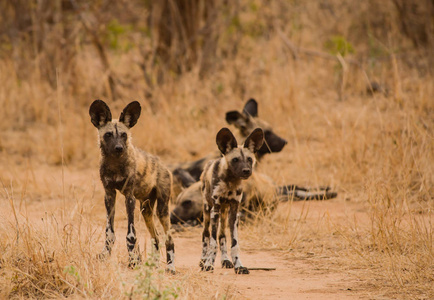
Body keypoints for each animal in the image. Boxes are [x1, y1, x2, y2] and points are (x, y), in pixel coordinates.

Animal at [89, 99, 175, 274]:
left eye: (124, 135)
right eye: (108, 135)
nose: (119, 148)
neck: (115, 164)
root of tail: (163, 165)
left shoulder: (129, 197)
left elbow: (131, 235)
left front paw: (133, 261)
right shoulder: (109, 195)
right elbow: (109, 232)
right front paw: (105, 255)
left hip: (162, 209)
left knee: (169, 238)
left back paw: (171, 267)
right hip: (146, 210)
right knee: (156, 237)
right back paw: (154, 265)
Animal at [200, 126, 264, 274]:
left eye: (249, 159)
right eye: (235, 160)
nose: (246, 171)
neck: (230, 182)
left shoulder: (234, 212)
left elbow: (234, 243)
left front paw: (238, 266)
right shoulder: (215, 210)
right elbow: (212, 243)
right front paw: (209, 264)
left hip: (224, 214)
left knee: (222, 236)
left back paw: (225, 260)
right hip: (208, 212)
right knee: (206, 236)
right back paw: (203, 260)